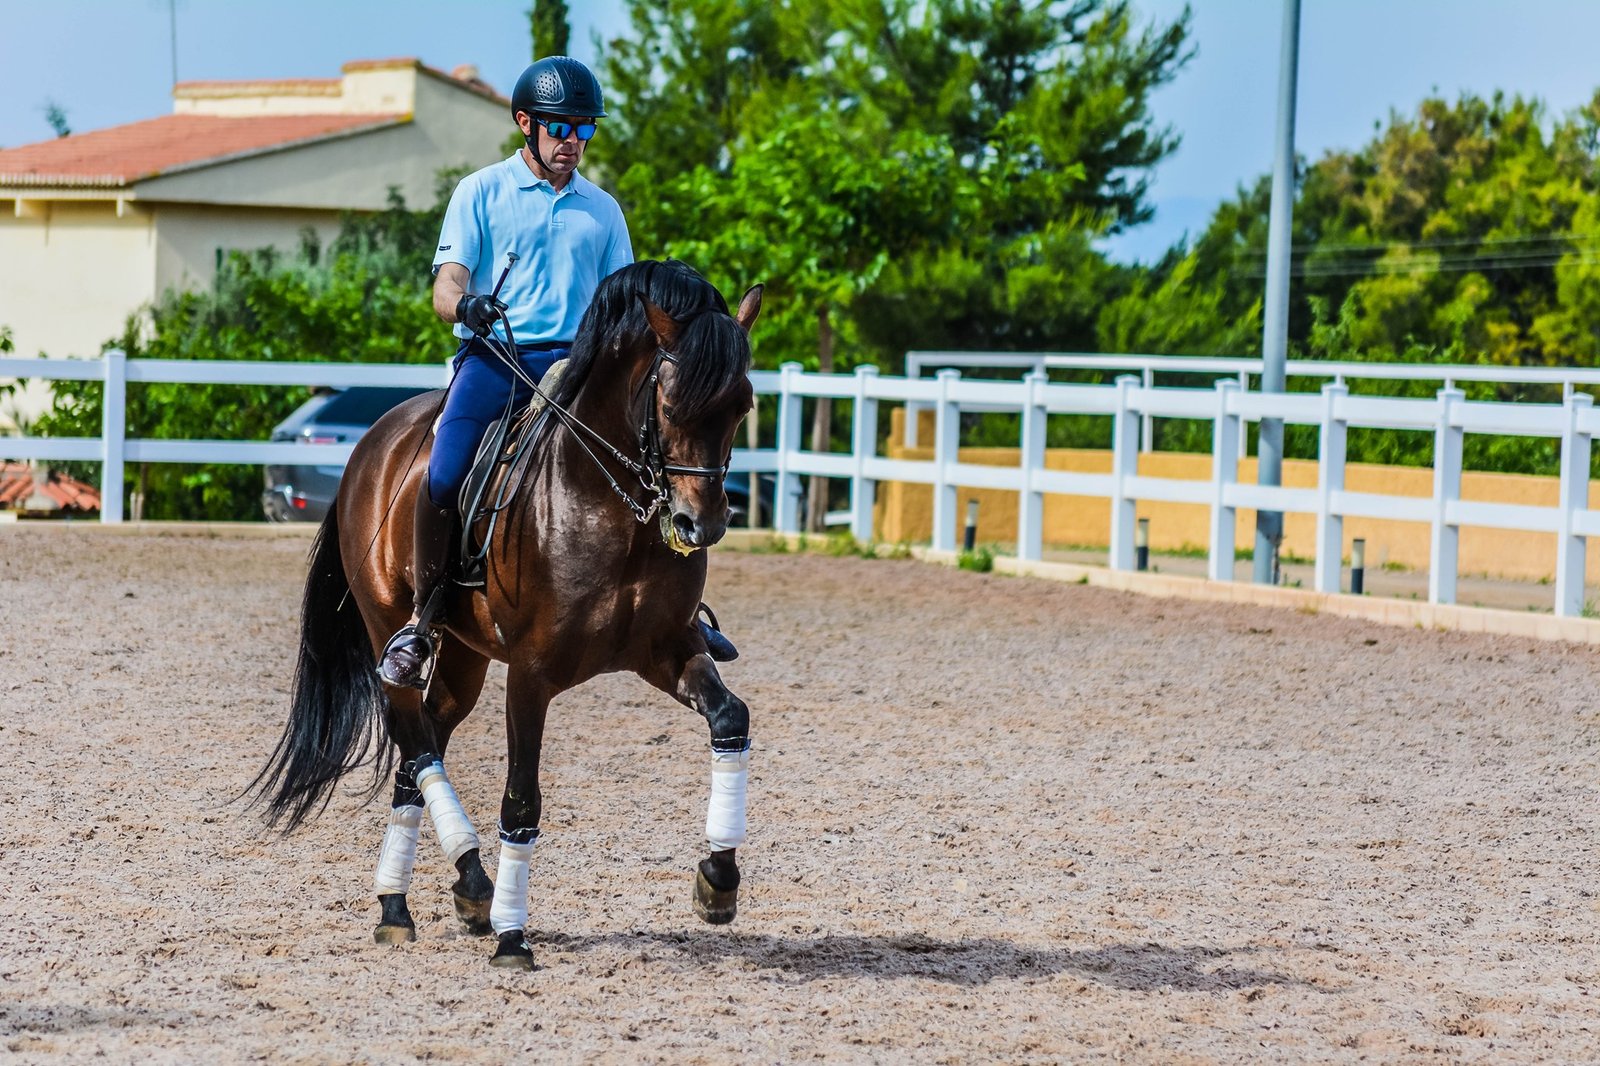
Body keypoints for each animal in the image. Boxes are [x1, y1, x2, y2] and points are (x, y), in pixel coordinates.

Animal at [254, 256, 761, 960]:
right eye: (668, 403)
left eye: (743, 403)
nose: (699, 524)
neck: (607, 506)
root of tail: (374, 441)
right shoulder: (531, 674)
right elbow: (522, 800)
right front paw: (513, 938)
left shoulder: (668, 649)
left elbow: (730, 719)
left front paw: (717, 879)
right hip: (392, 626)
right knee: (415, 738)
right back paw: (461, 890)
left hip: (464, 656)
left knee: (422, 748)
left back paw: (418, 899)